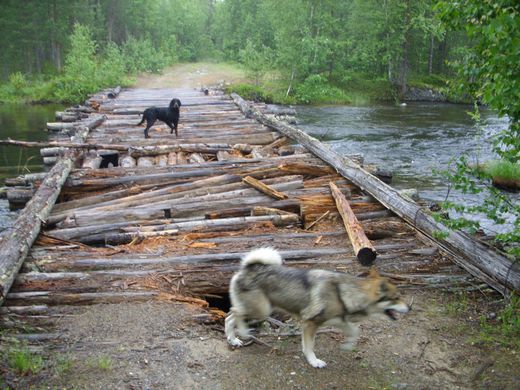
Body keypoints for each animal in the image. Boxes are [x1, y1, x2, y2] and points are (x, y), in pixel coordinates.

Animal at [224, 248, 410, 368]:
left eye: (400, 296)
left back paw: (233, 339)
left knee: (229, 317)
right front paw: (314, 362)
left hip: (259, 310)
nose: (410, 306)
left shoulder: (340, 321)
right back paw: (243, 332)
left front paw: (347, 346)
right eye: (396, 297)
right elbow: (309, 347)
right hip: (261, 310)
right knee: (234, 313)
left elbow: (355, 332)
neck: (343, 292)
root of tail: (248, 268)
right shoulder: (309, 323)